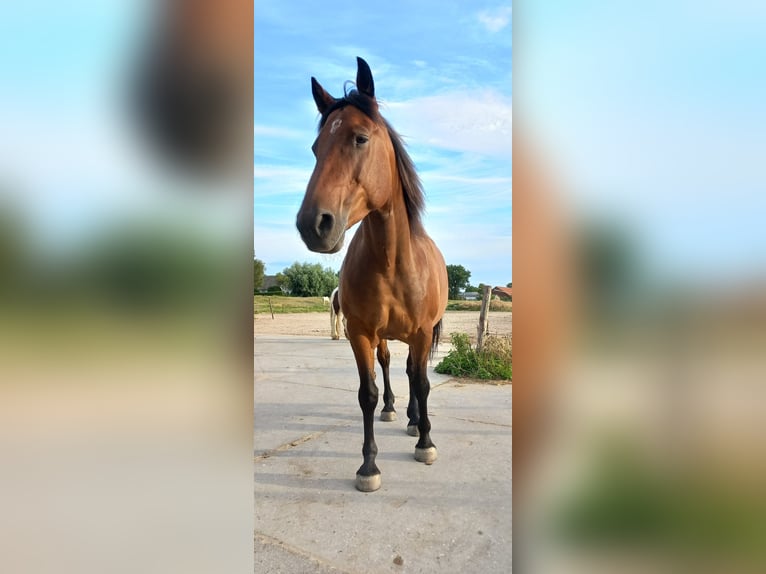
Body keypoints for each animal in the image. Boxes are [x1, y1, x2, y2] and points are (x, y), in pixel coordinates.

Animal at [296, 56, 450, 492]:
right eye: (315, 148)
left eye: (360, 138)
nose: (313, 224)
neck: (393, 264)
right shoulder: (360, 333)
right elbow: (367, 392)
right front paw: (368, 466)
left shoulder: (421, 333)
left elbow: (423, 382)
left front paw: (426, 443)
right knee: (389, 367)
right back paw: (394, 409)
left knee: (414, 373)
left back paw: (416, 421)